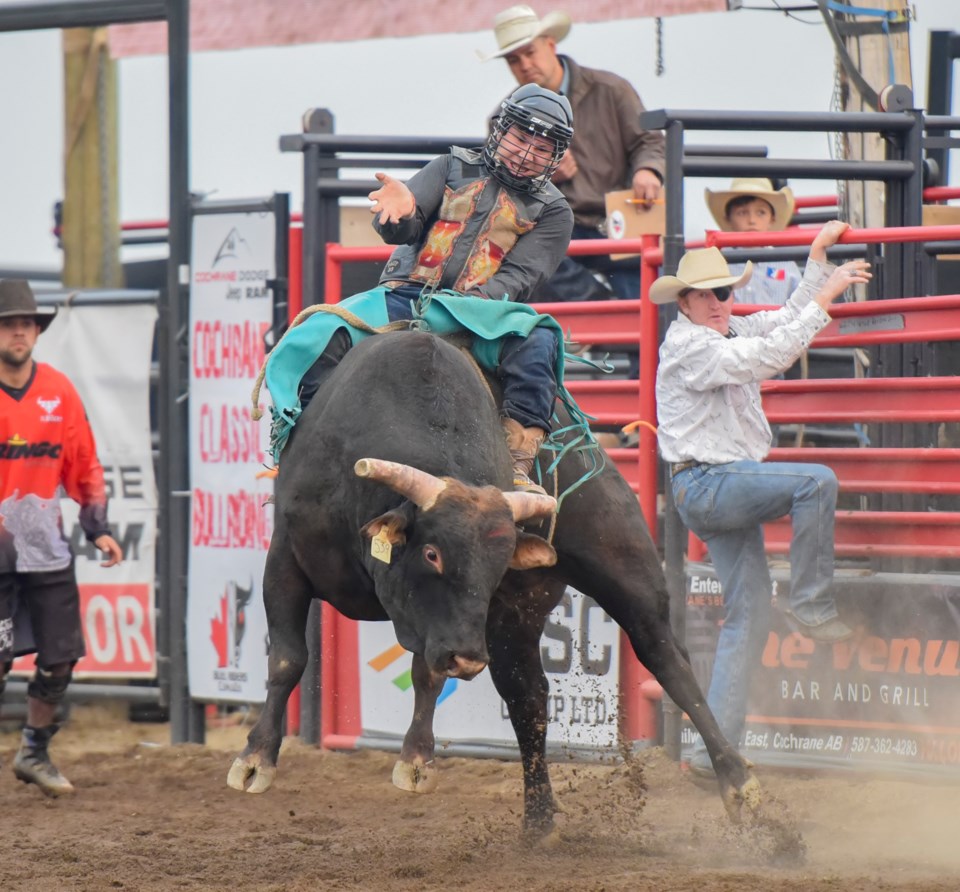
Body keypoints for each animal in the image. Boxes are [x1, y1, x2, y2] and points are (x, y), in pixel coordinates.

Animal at [229, 330, 760, 836]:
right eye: (432, 553)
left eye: (498, 564)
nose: (467, 658)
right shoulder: (286, 558)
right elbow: (287, 659)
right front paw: (254, 760)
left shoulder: (452, 623)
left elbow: (426, 672)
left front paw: (416, 760)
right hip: (514, 621)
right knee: (529, 698)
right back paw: (539, 820)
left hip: (619, 565)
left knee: (668, 660)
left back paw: (739, 785)